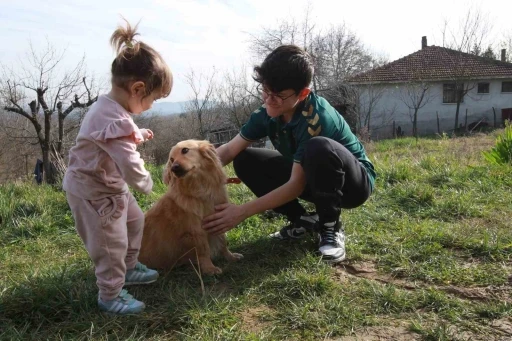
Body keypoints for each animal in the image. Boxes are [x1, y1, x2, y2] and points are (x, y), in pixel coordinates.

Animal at [139, 139, 243, 274]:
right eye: (171, 159)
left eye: (185, 150)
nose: (174, 168)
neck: (200, 189)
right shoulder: (196, 232)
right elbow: (204, 251)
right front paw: (209, 268)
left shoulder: (219, 219)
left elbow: (223, 242)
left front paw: (230, 257)